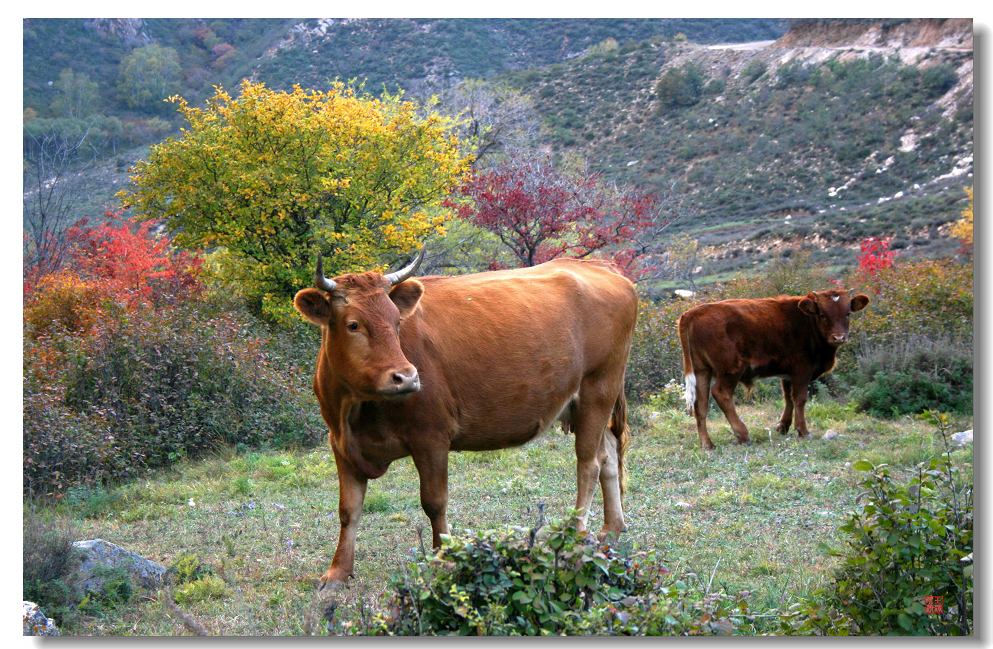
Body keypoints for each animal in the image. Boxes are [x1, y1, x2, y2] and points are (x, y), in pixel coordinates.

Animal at [292, 249, 636, 588]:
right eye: (353, 325)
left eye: (396, 322)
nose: (406, 377)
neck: (355, 409)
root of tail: (600, 267)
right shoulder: (340, 444)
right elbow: (348, 510)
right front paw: (337, 573)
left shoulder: (431, 437)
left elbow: (434, 502)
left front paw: (443, 558)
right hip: (590, 403)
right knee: (608, 459)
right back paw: (611, 530)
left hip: (597, 389)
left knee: (589, 464)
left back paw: (576, 536)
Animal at [680, 290, 864, 448]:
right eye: (822, 315)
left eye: (847, 314)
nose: (838, 337)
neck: (807, 322)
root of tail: (692, 313)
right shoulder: (802, 370)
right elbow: (800, 398)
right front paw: (803, 431)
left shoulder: (788, 373)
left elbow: (788, 398)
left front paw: (783, 426)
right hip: (730, 370)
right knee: (720, 393)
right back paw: (742, 434)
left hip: (702, 371)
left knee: (701, 404)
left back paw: (707, 444)